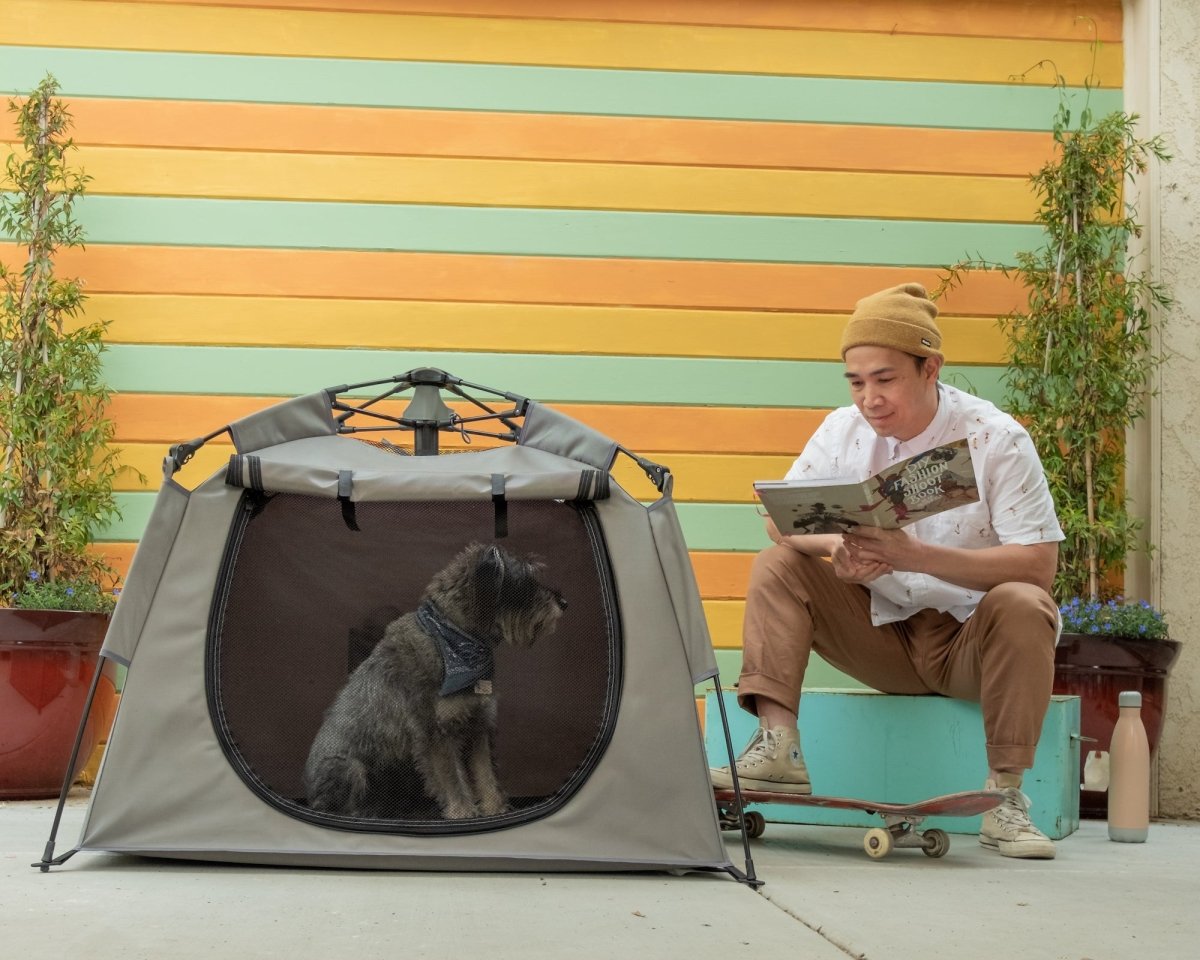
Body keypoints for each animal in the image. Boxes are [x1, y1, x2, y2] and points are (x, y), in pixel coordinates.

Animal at [300, 544, 561, 820]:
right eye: (524, 579)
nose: (563, 603)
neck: (457, 637)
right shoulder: (436, 734)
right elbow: (453, 780)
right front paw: (463, 813)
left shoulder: (478, 726)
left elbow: (486, 776)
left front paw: (495, 810)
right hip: (350, 768)